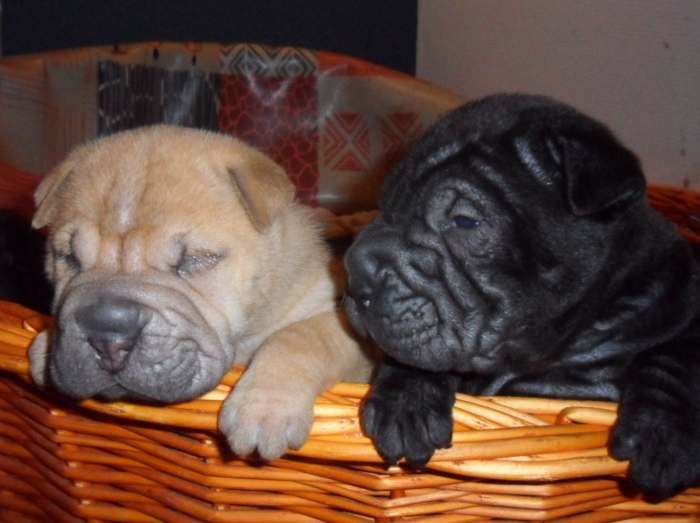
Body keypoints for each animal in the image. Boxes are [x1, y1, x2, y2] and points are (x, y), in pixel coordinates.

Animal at [28, 126, 372, 458]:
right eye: (69, 258)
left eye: (195, 260)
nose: (107, 335)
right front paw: (44, 344)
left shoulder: (345, 325)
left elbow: (300, 336)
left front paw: (264, 409)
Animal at [344, 94, 700, 500]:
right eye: (385, 206)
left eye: (464, 221)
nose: (354, 271)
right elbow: (415, 355)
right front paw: (406, 401)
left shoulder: (679, 303)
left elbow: (675, 356)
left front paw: (661, 434)